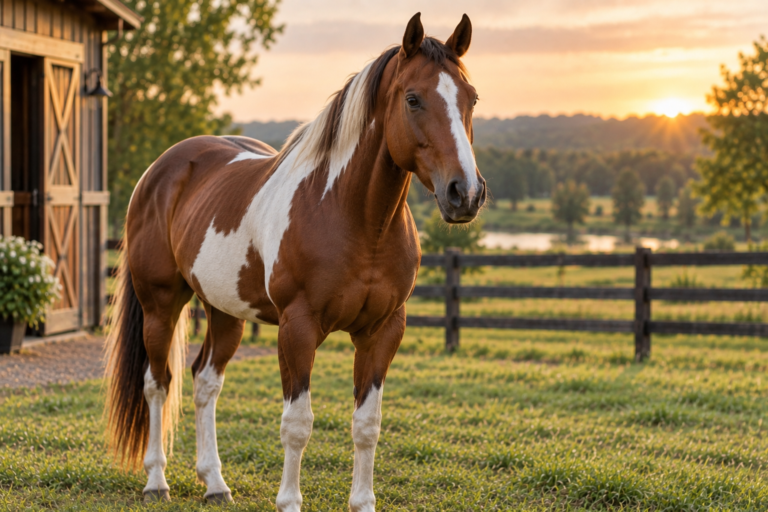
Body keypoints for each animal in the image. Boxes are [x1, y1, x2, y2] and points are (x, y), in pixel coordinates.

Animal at [104, 12, 485, 511]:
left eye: (471, 98)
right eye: (413, 99)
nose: (466, 193)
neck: (354, 218)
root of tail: (160, 169)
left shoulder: (382, 332)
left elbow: (367, 425)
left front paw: (363, 501)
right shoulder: (298, 329)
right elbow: (297, 424)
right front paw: (289, 500)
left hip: (225, 311)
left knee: (205, 381)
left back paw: (215, 483)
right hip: (160, 304)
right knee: (157, 382)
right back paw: (156, 480)